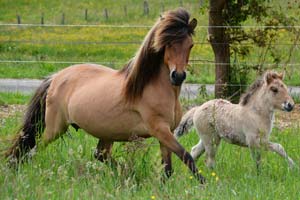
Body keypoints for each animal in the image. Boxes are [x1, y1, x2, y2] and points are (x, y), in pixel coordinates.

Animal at [5, 9, 205, 184]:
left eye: (190, 45)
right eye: (168, 43)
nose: (178, 76)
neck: (153, 88)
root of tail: (56, 77)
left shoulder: (166, 133)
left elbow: (168, 169)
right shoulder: (160, 130)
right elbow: (186, 156)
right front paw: (204, 183)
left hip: (106, 132)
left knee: (100, 154)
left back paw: (128, 173)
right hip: (55, 129)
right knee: (34, 149)